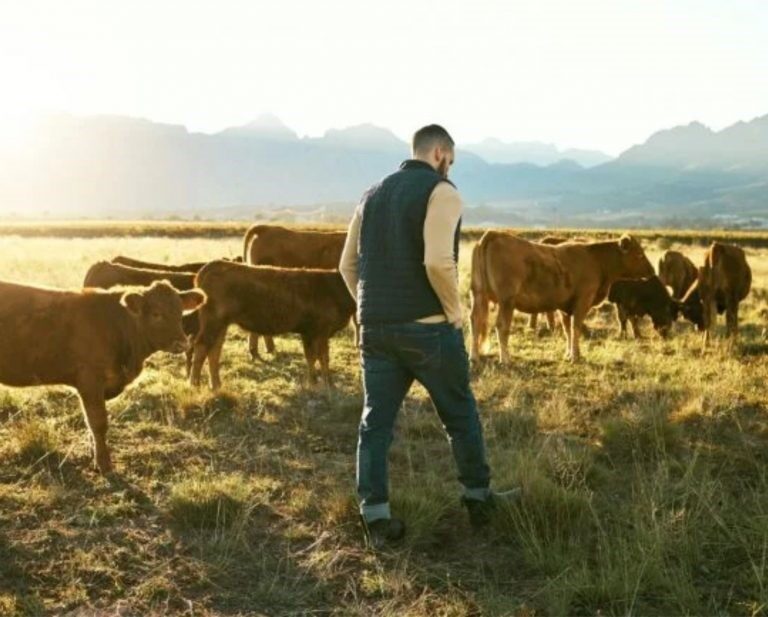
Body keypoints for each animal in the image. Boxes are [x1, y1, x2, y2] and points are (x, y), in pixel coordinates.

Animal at [0, 280, 206, 472]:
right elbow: (98, 423)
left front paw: (94, 456)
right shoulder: (90, 381)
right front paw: (104, 464)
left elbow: (90, 424)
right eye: (156, 314)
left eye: (180, 313)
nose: (182, 344)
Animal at [189, 262, 356, 388]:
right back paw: (195, 384)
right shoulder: (319, 331)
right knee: (202, 346)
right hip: (213, 322)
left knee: (214, 350)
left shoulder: (310, 333)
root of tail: (212, 266)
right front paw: (327, 384)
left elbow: (312, 357)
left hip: (221, 324)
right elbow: (322, 357)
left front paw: (314, 382)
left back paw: (216, 385)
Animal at [468, 233, 656, 364]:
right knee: (502, 326)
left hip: (478, 295)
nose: (652, 270)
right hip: (507, 301)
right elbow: (575, 327)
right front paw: (575, 356)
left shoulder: (565, 307)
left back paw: (474, 356)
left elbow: (567, 330)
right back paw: (505, 359)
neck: (596, 260)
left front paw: (569, 354)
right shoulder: (582, 301)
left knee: (475, 322)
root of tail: (494, 234)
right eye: (639, 254)